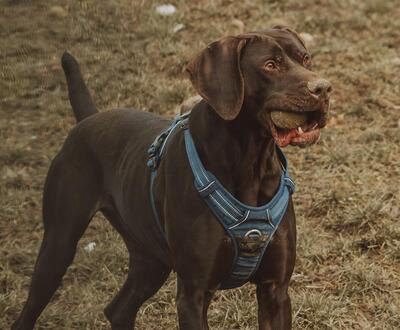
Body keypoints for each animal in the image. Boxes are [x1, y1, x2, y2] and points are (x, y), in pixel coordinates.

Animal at [12, 27, 332, 328]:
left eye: (306, 58)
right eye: (270, 65)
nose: (325, 88)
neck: (250, 160)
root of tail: (88, 119)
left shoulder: (274, 290)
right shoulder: (194, 294)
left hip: (150, 259)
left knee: (118, 310)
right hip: (59, 245)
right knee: (28, 313)